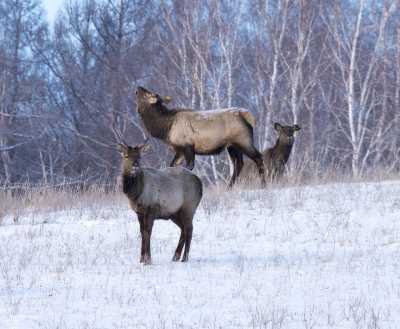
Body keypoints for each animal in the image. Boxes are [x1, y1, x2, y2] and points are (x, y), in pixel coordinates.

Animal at [134, 86, 266, 186]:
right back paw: (229, 187)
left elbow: (189, 166)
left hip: (244, 140)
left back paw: (263, 184)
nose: (138, 87)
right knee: (239, 164)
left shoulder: (188, 146)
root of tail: (248, 117)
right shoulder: (179, 149)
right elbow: (171, 166)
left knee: (258, 157)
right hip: (232, 146)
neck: (165, 127)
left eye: (148, 93)